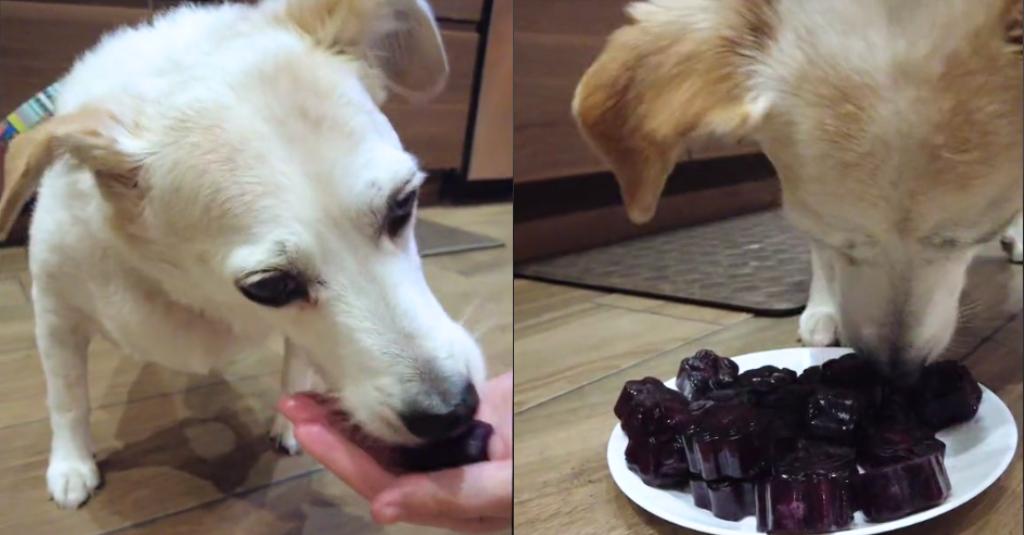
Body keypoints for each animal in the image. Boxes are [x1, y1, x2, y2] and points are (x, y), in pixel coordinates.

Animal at [0, 0, 483, 508]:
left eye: (403, 204)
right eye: (270, 286)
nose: (452, 411)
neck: (191, 293)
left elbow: (297, 366)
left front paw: (289, 420)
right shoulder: (56, 316)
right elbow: (68, 398)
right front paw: (72, 465)